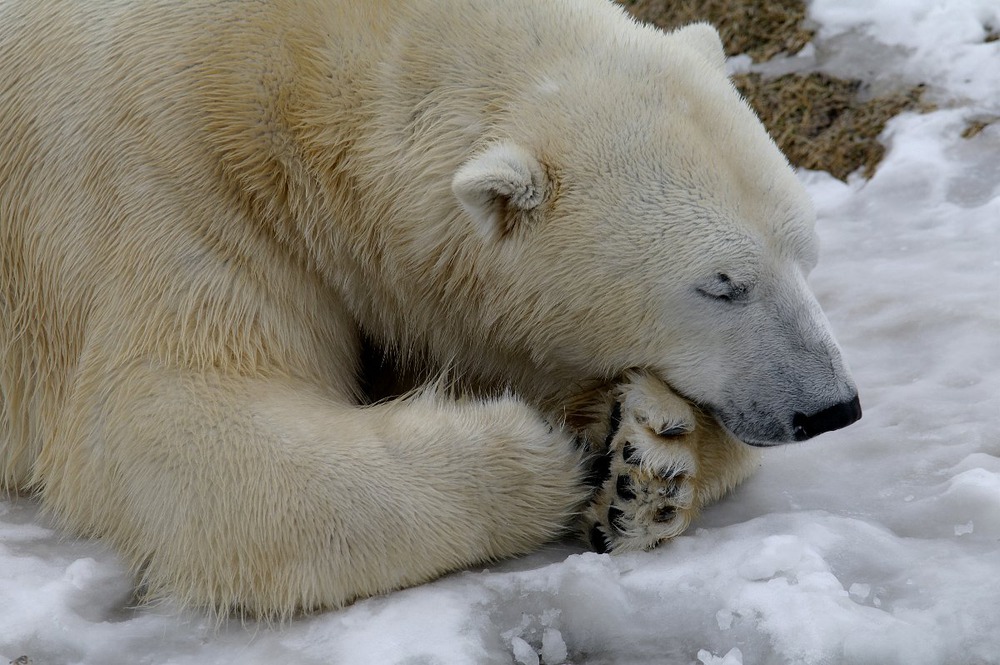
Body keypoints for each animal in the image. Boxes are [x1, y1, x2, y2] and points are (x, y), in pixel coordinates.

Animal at [0, 0, 860, 616]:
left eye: (805, 250)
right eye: (721, 283)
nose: (832, 407)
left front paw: (645, 459)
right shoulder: (163, 180)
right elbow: (178, 434)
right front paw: (552, 451)